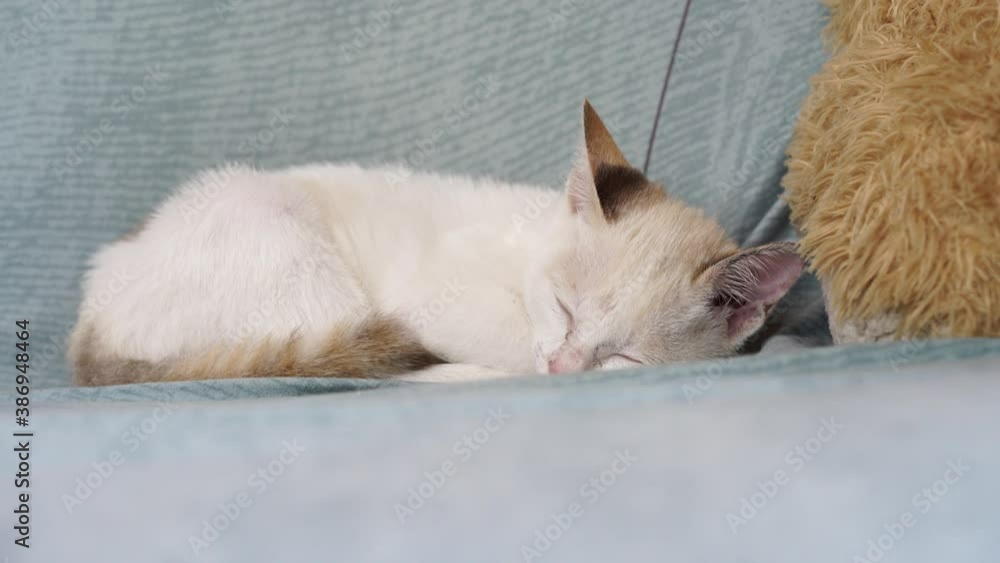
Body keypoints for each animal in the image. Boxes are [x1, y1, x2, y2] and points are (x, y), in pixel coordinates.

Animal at [69, 101, 804, 385]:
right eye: (564, 307)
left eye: (623, 355)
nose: (564, 369)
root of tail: (90, 325)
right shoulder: (434, 298)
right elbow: (503, 342)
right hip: (283, 240)